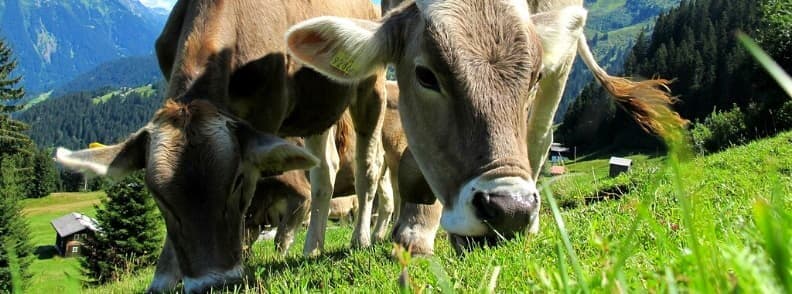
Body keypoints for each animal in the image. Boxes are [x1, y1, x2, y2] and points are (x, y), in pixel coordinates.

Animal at [51, 0, 386, 292]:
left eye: (237, 181)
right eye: (157, 195)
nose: (213, 284)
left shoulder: (266, 116)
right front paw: (164, 278)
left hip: (371, 86)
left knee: (368, 168)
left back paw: (361, 239)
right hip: (317, 110)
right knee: (324, 172)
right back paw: (312, 247)